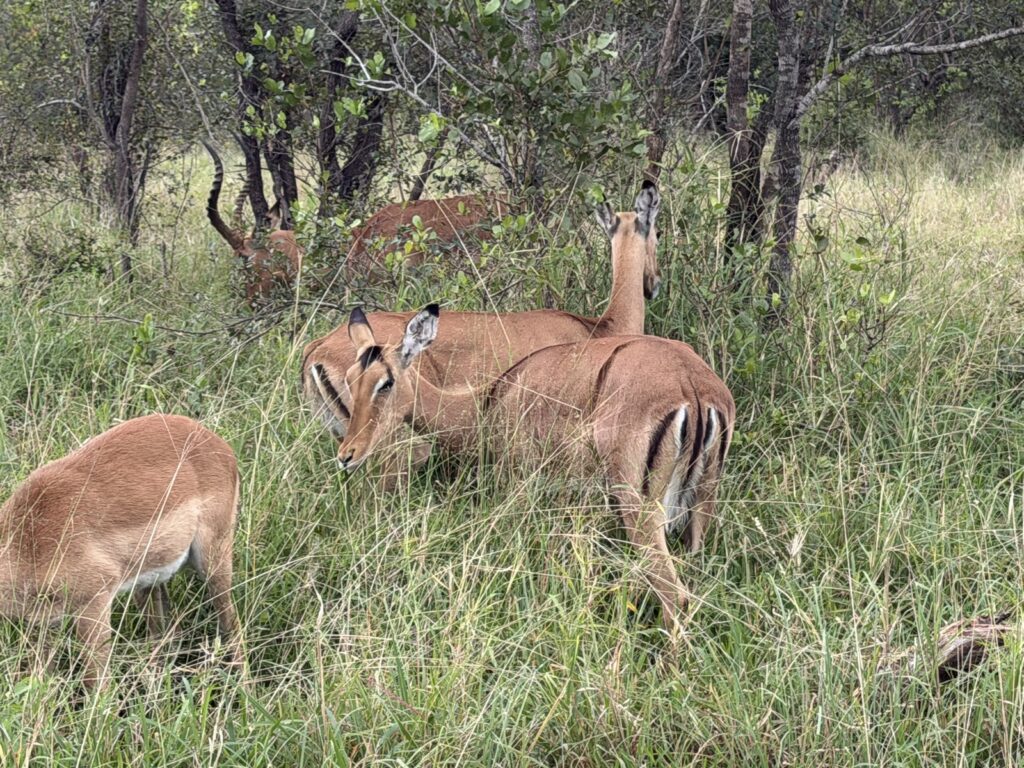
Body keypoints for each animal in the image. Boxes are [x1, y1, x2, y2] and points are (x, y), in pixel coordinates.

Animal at [0, 414, 241, 690]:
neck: (30, 539)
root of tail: (218, 443)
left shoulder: (95, 601)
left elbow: (96, 681)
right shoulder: (43, 623)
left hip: (213, 560)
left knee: (232, 624)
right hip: (150, 581)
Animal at [334, 306, 734, 631]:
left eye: (385, 382)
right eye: (351, 378)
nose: (346, 454)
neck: (491, 399)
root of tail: (691, 384)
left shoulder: (525, 489)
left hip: (640, 510)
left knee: (676, 597)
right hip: (700, 509)